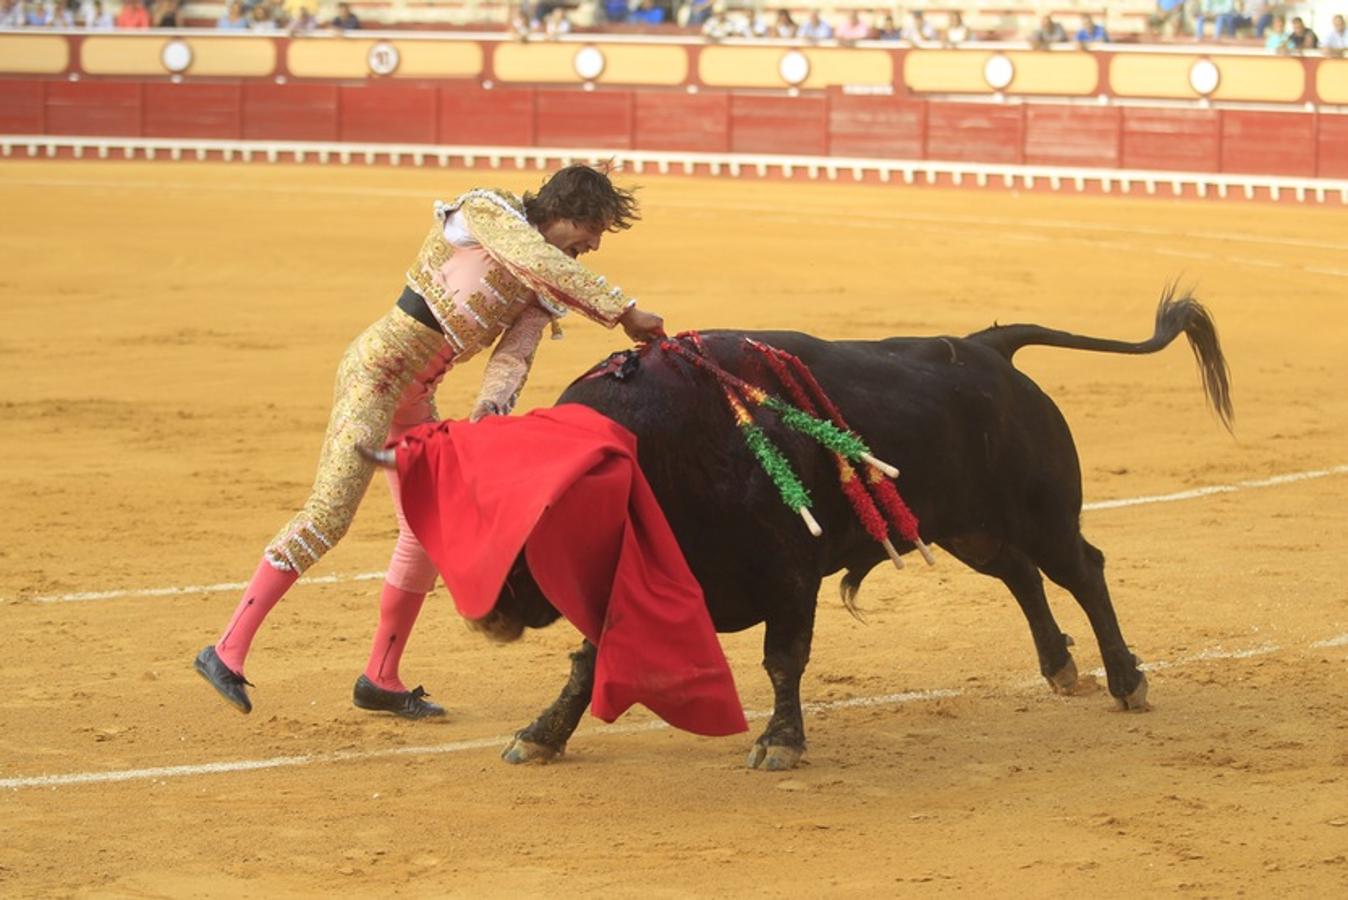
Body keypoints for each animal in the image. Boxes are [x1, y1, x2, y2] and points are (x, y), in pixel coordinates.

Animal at [474, 292, 1234, 770]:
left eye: (535, 520)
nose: (486, 613)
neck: (660, 448)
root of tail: (988, 347)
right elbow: (586, 665)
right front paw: (539, 736)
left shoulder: (788, 576)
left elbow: (783, 658)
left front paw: (780, 744)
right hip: (967, 528)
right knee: (1022, 575)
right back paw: (1061, 668)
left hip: (1042, 514)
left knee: (1082, 570)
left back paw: (1126, 680)